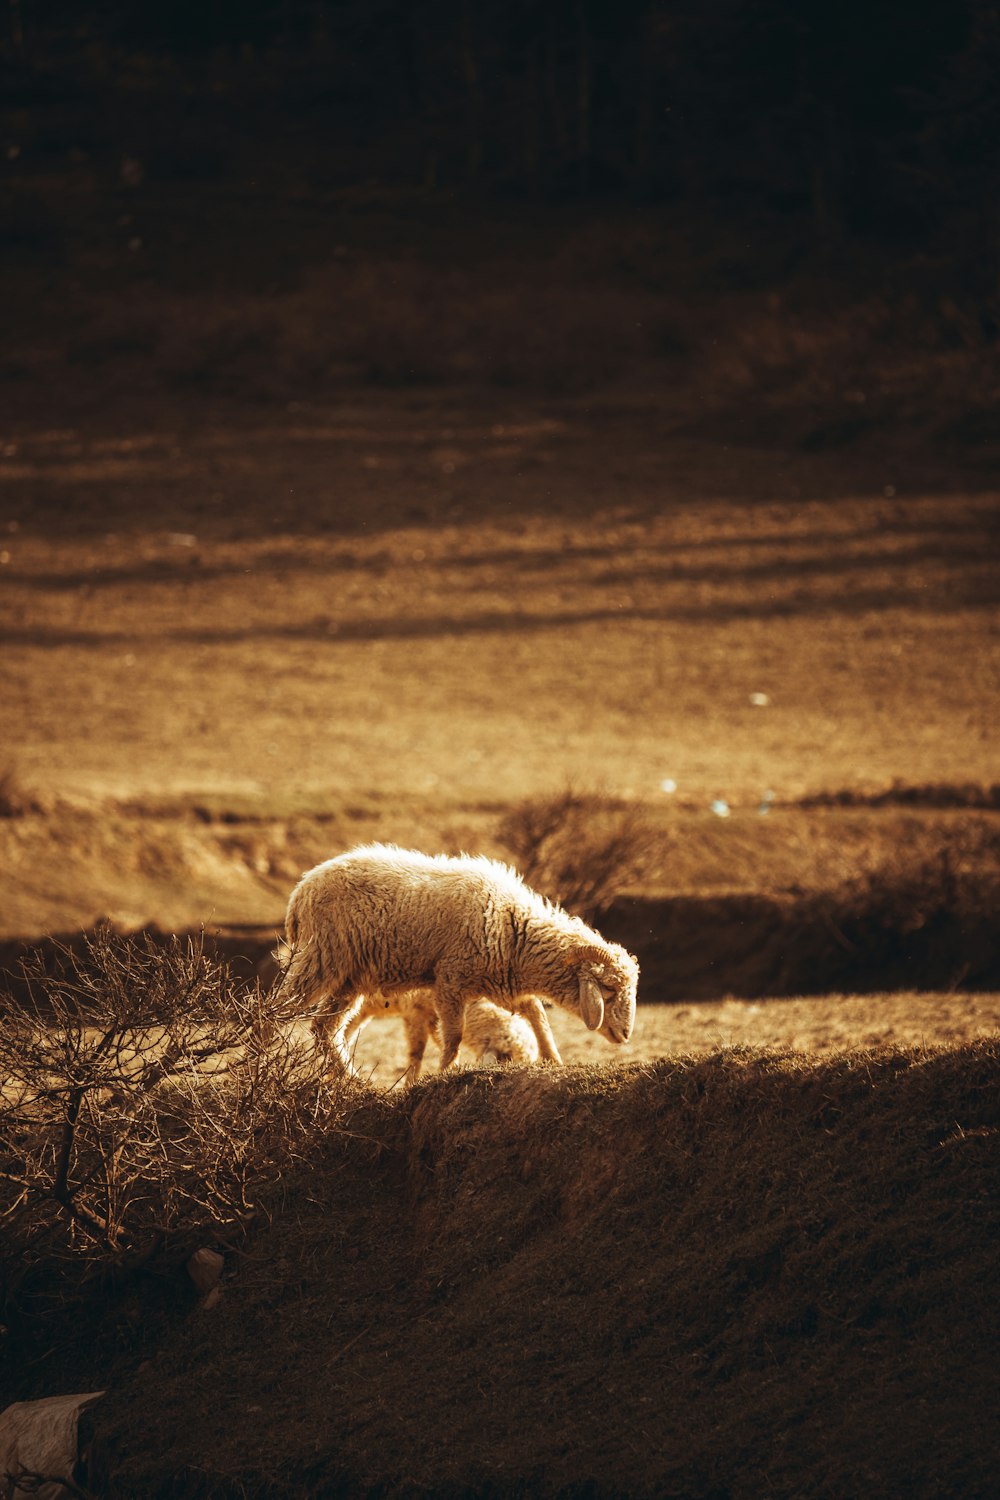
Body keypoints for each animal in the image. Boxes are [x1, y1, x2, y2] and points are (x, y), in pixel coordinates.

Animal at [277, 846, 638, 1080]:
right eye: (608, 989)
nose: (625, 1034)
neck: (513, 927)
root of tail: (300, 891)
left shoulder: (497, 980)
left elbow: (536, 1011)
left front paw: (553, 1059)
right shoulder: (450, 980)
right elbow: (452, 1037)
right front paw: (444, 1072)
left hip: (350, 978)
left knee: (324, 1029)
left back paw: (351, 1079)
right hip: (321, 958)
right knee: (279, 1011)